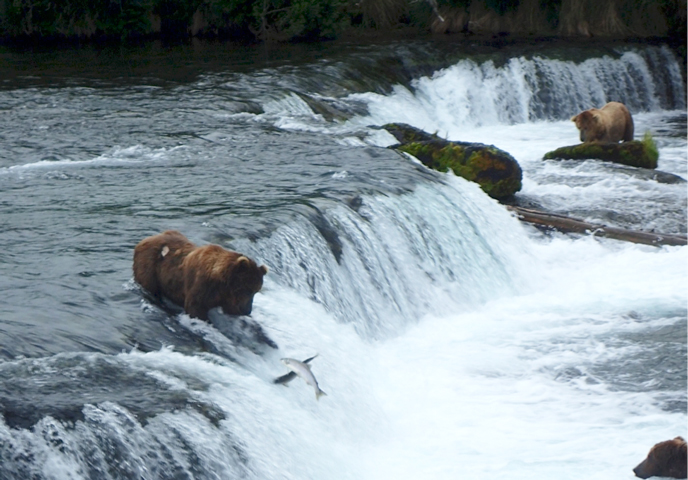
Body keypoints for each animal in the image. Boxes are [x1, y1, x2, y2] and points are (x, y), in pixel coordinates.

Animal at [133, 230, 268, 320]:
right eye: (246, 289)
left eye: (256, 291)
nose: (246, 311)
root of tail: (144, 240)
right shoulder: (202, 285)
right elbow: (195, 307)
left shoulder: (226, 297)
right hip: (150, 268)